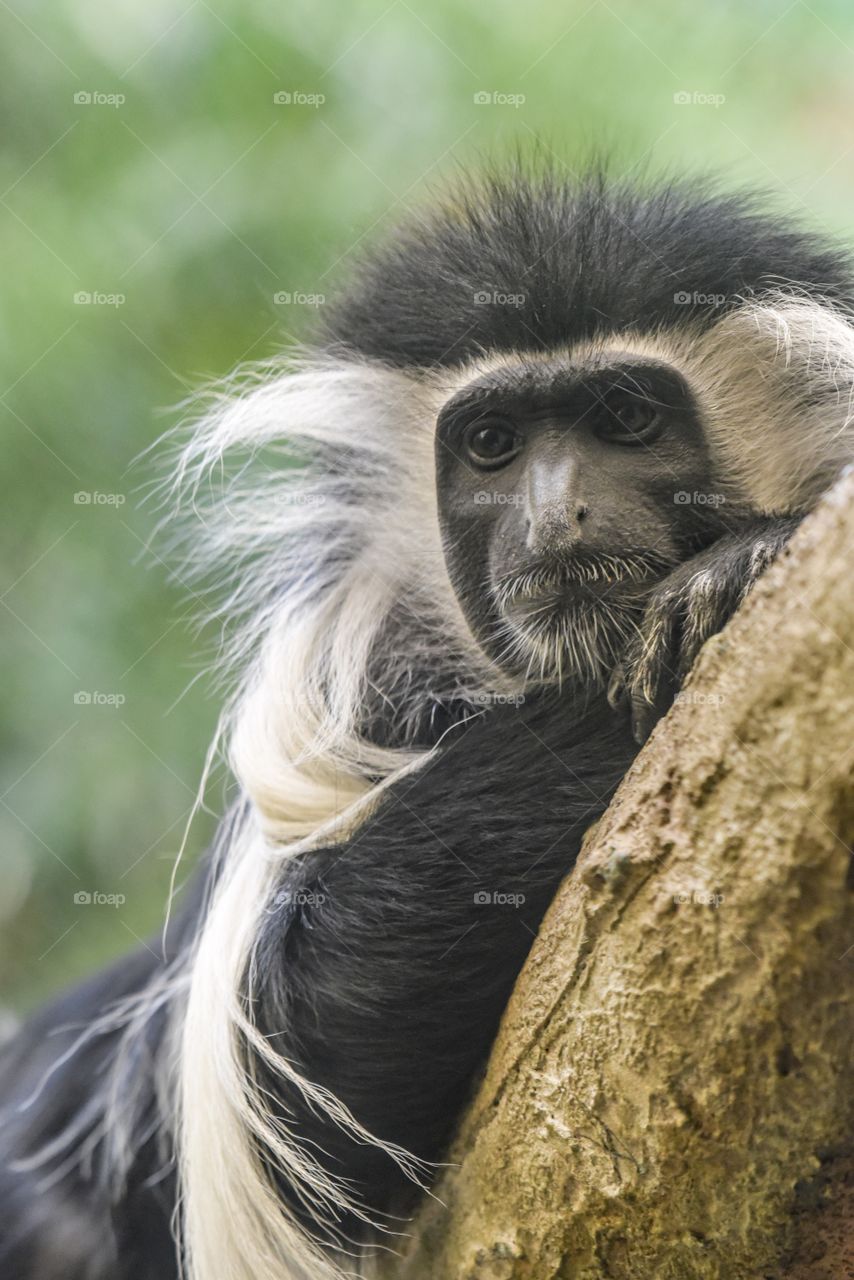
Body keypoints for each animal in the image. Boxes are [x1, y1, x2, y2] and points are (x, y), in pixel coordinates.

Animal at [1, 168, 853, 1280]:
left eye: (626, 417)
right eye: (491, 444)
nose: (555, 517)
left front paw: (738, 563)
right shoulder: (346, 682)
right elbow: (305, 1056)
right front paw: (714, 595)